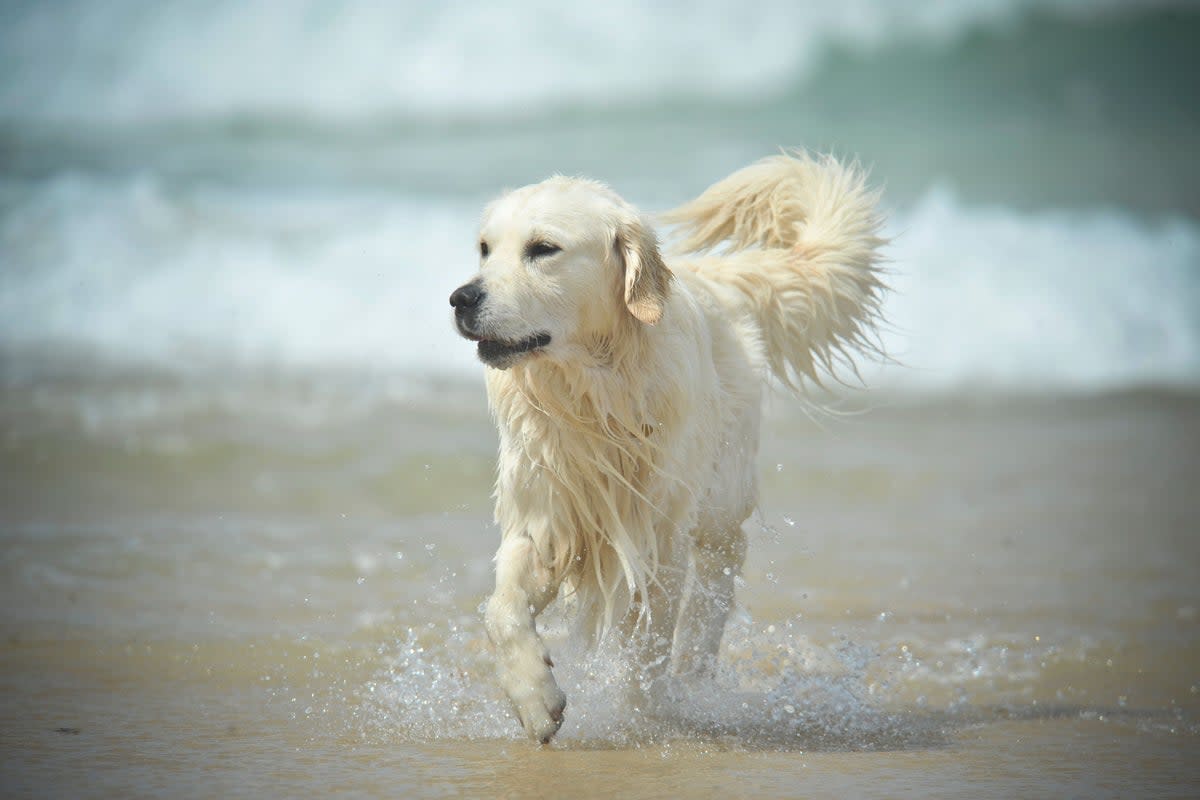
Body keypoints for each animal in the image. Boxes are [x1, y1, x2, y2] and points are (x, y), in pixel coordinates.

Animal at [448, 151, 883, 743]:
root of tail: (715, 275)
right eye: (485, 248)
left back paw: (693, 671)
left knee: (719, 571)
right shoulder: (547, 515)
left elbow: (646, 644)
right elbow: (501, 609)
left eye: (543, 248)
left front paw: (644, 717)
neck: (593, 395)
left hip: (721, 494)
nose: (461, 298)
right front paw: (535, 699)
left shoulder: (655, 535)